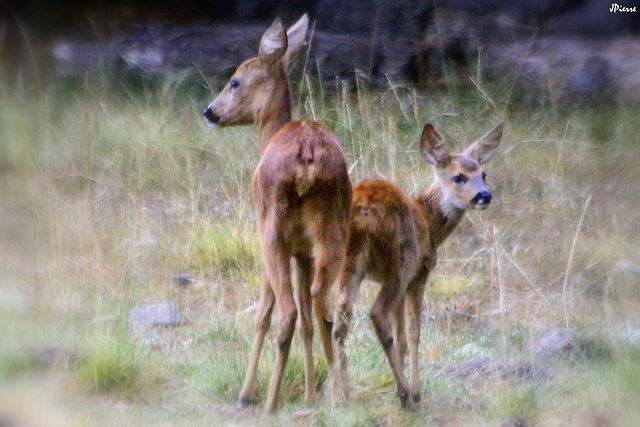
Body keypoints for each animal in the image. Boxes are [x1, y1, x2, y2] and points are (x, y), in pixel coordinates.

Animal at [202, 14, 352, 414]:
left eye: (234, 81)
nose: (210, 111)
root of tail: (306, 157)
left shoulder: (272, 240)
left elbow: (262, 315)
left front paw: (246, 393)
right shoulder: (303, 252)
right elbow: (309, 323)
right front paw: (311, 395)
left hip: (272, 230)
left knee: (286, 314)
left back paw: (267, 402)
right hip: (332, 230)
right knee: (323, 307)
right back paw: (336, 393)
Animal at [332, 122, 502, 410]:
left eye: (484, 173)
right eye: (458, 177)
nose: (484, 196)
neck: (429, 222)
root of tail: (363, 210)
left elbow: (400, 337)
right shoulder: (419, 273)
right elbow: (413, 333)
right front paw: (415, 390)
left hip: (350, 260)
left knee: (341, 318)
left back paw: (343, 393)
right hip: (401, 260)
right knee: (377, 313)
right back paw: (406, 394)